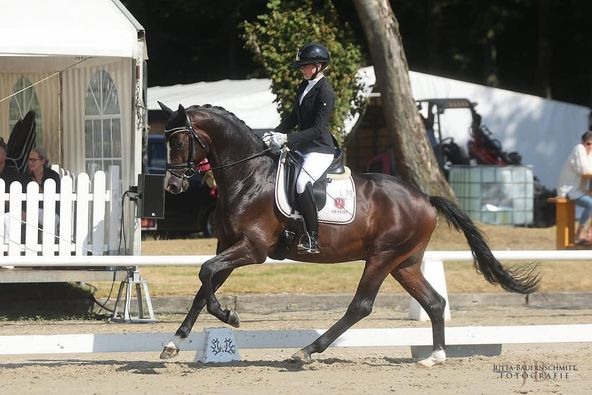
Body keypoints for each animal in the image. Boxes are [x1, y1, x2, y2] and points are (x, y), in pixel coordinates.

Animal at [157, 103, 540, 368]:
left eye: (179, 141)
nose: (173, 187)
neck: (248, 176)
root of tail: (424, 197)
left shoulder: (253, 248)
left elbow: (206, 272)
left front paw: (229, 317)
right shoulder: (229, 245)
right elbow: (203, 286)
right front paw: (174, 342)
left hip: (383, 258)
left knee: (361, 306)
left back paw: (306, 352)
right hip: (404, 263)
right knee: (433, 302)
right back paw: (434, 357)